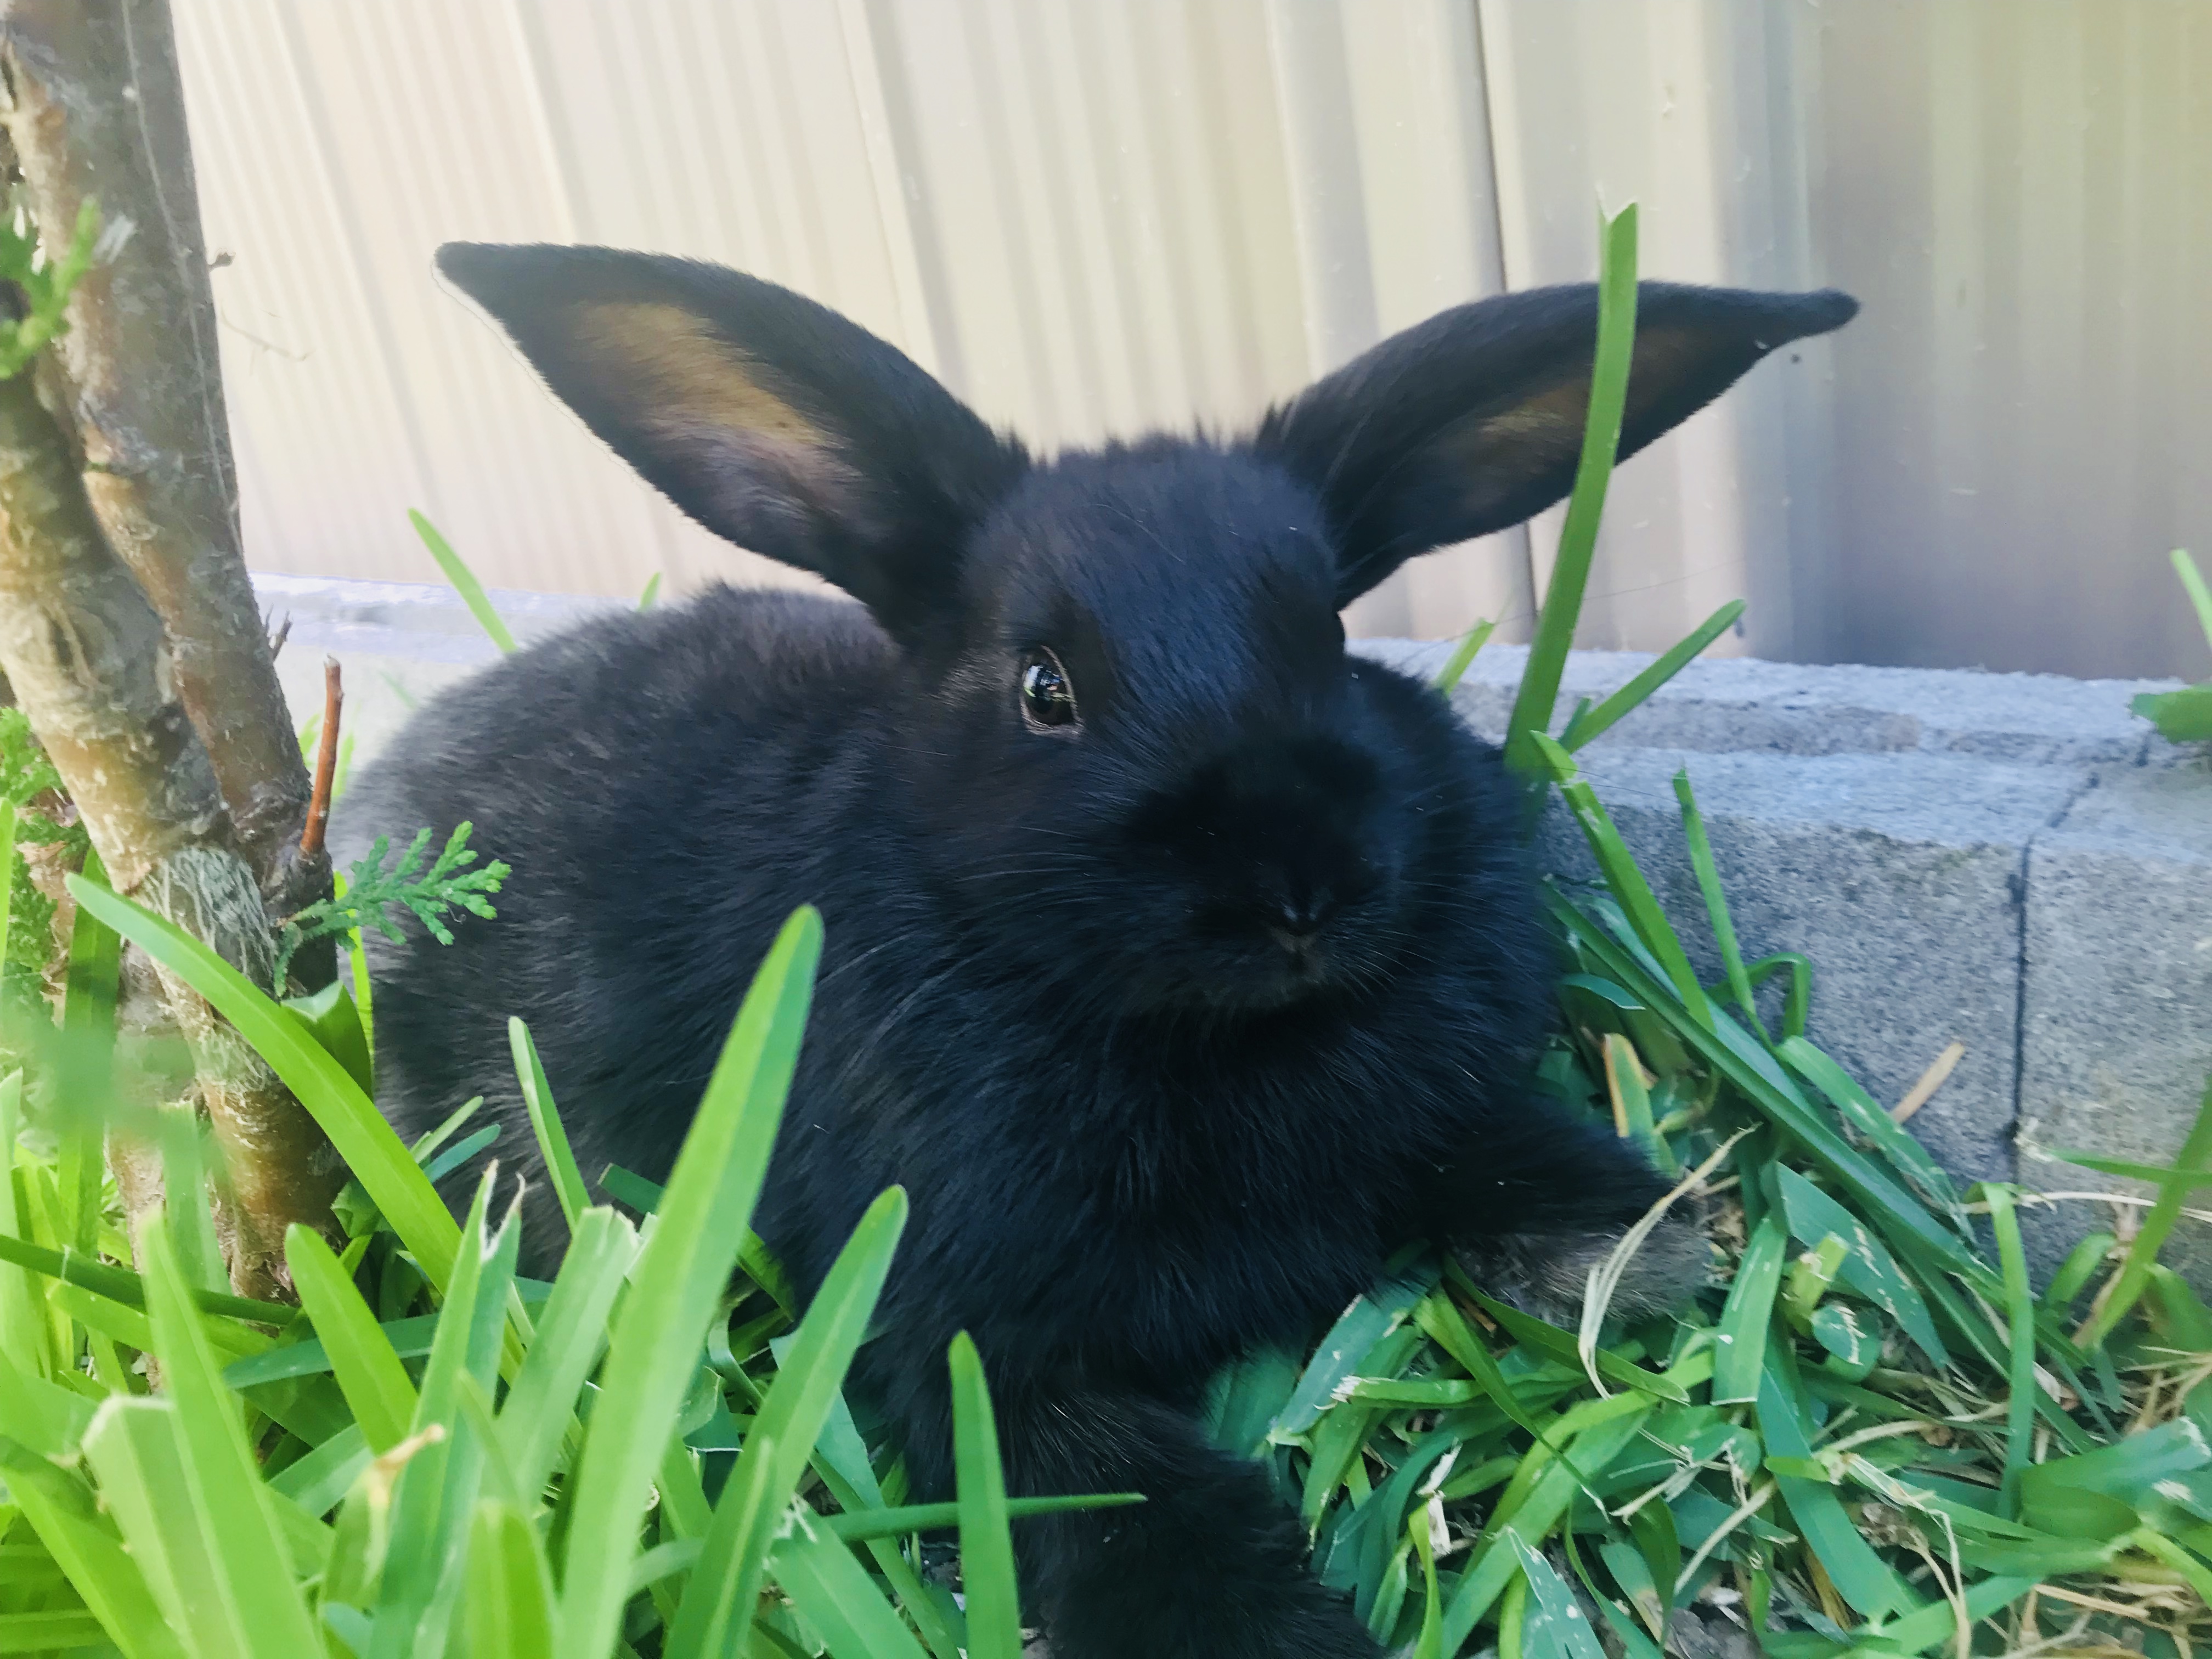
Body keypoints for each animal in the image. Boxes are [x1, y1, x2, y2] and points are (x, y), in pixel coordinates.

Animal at [337, 242, 1855, 1659]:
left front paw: (1641, 1246)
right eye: (1043, 688)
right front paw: (1269, 1637)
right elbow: (1135, 1500)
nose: (1297, 891)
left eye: (1332, 638)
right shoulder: (969, 1339)